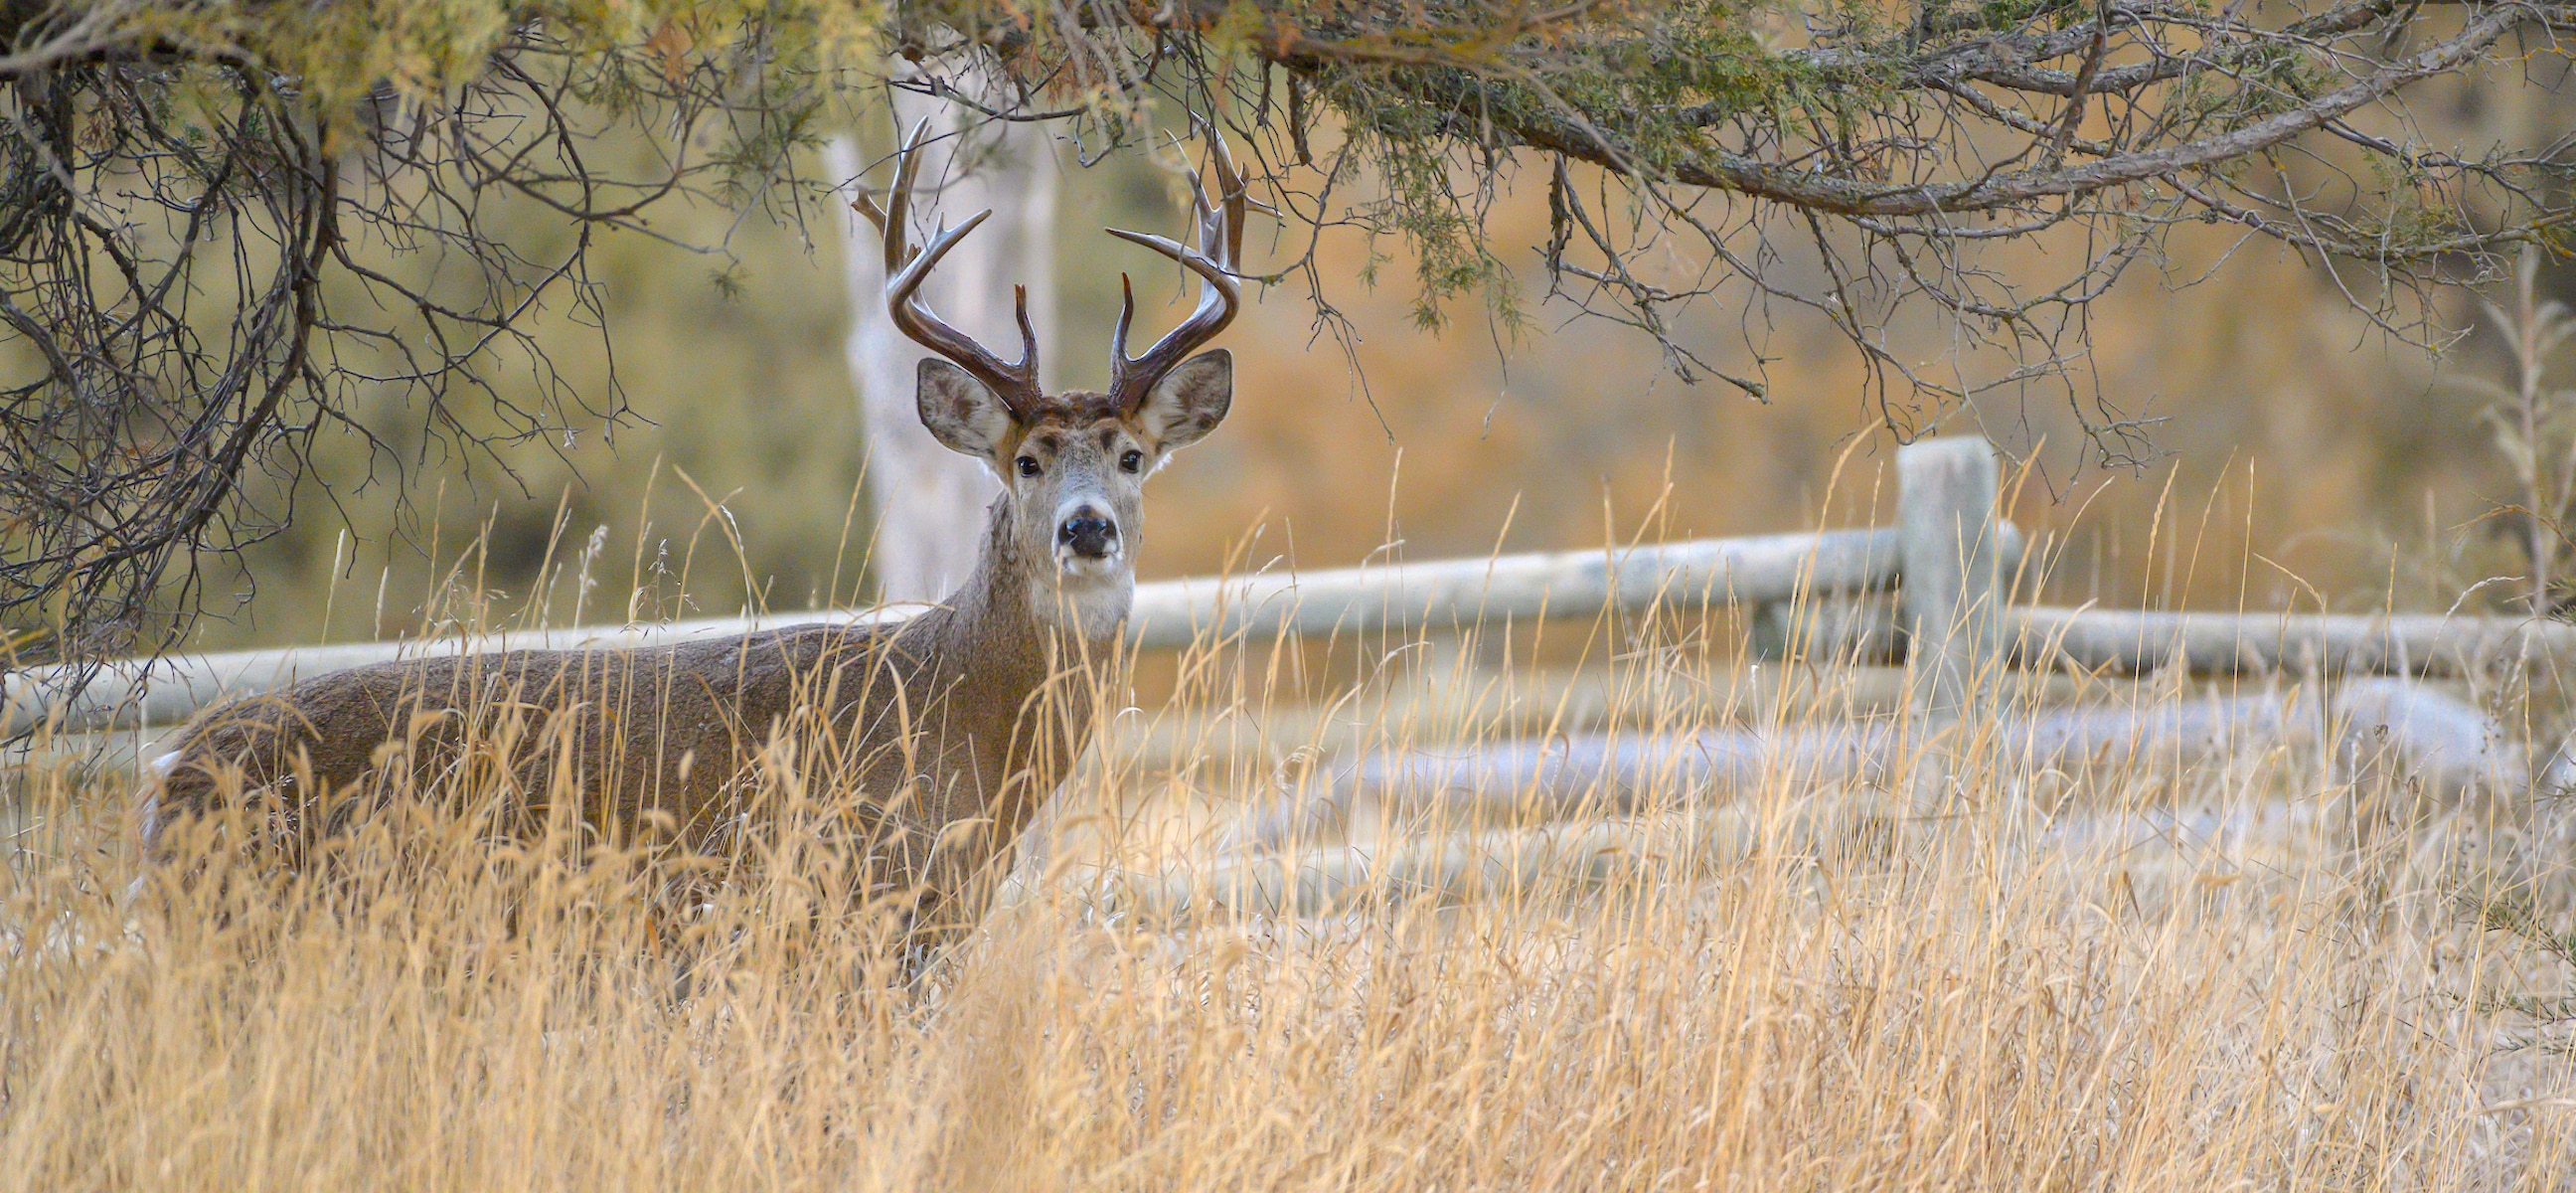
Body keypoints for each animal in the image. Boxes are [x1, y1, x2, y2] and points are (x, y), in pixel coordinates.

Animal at [136, 120, 1249, 958]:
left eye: (1132, 457)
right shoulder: (849, 904)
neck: (957, 717)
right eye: (1026, 461)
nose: (1087, 527)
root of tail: (171, 774)